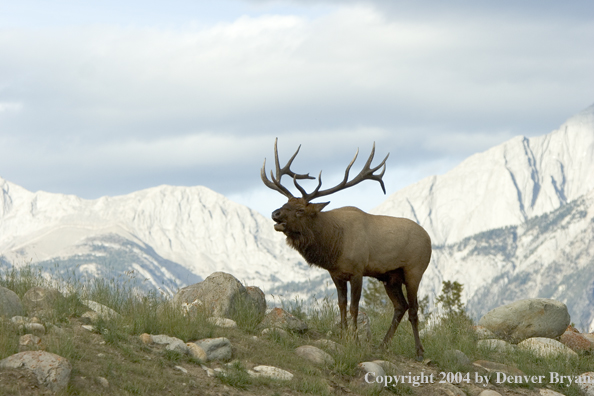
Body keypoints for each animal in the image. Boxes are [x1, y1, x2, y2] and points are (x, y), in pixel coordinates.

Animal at [260, 138, 430, 358]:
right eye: (284, 202)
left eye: (300, 210)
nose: (275, 213)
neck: (334, 245)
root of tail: (429, 238)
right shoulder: (336, 273)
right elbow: (341, 304)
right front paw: (342, 335)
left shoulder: (357, 270)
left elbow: (354, 307)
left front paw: (355, 340)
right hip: (390, 277)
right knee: (401, 306)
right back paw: (383, 345)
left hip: (414, 271)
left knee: (414, 309)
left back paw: (419, 351)